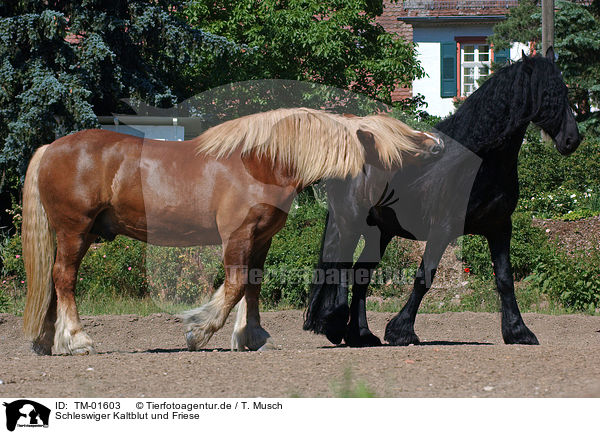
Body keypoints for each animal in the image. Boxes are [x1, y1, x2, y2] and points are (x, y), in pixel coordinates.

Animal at [22, 107, 440, 354]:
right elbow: (236, 284)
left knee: (53, 282)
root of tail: (50, 148)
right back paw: (77, 340)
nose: (437, 143)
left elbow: (252, 285)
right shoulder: (236, 236)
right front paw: (199, 330)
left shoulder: (261, 238)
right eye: (402, 140)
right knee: (63, 279)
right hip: (75, 231)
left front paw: (251, 336)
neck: (261, 163)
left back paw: (47, 341)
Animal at [304, 48, 580, 346]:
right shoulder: (443, 229)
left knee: (360, 276)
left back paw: (362, 334)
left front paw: (519, 331)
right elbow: (424, 277)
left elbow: (505, 280)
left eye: (565, 90)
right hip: (350, 222)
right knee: (341, 268)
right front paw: (401, 330)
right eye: (547, 94)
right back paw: (334, 325)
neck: (479, 160)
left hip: (381, 232)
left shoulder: (499, 227)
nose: (572, 140)